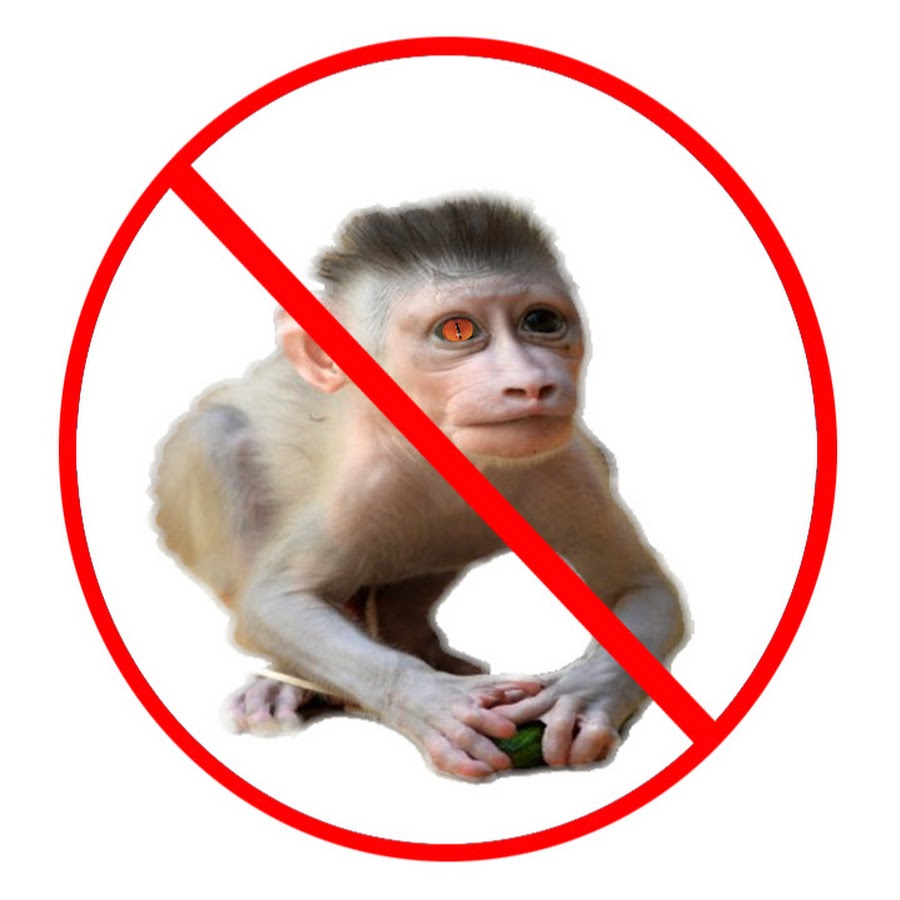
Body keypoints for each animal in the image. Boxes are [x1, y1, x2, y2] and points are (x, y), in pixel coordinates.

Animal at [152, 195, 686, 779]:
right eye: (457, 332)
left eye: (541, 321)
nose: (531, 383)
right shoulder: (365, 485)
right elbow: (275, 601)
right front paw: (427, 700)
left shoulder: (567, 465)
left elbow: (642, 589)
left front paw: (582, 695)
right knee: (213, 437)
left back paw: (418, 641)